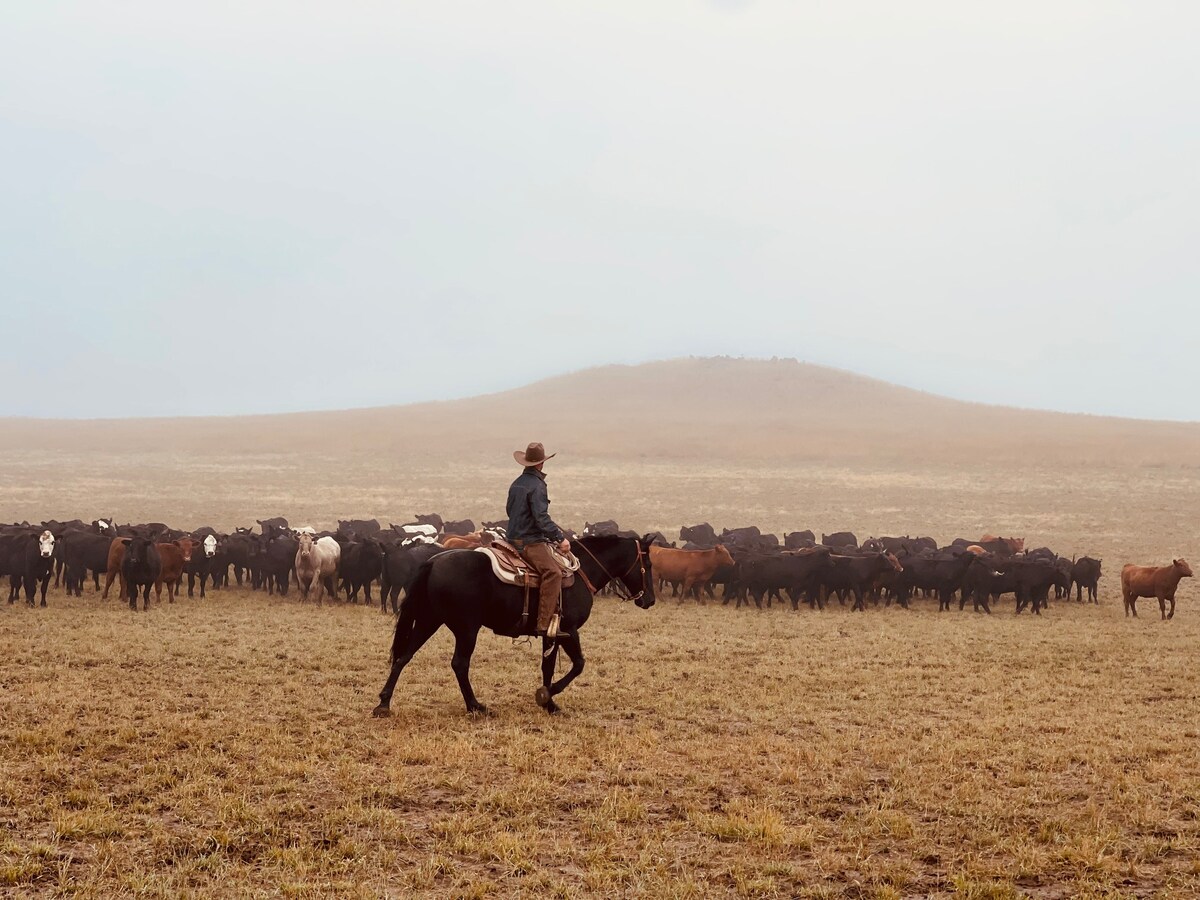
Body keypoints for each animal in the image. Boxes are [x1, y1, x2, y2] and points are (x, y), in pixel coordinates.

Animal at [374, 535, 657, 720]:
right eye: (649, 564)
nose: (650, 600)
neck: (581, 572)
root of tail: (433, 561)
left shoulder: (551, 633)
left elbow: (547, 666)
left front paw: (549, 702)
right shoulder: (569, 630)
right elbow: (578, 664)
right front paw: (548, 696)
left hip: (428, 621)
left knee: (403, 657)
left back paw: (384, 703)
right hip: (466, 629)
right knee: (459, 664)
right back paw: (475, 706)